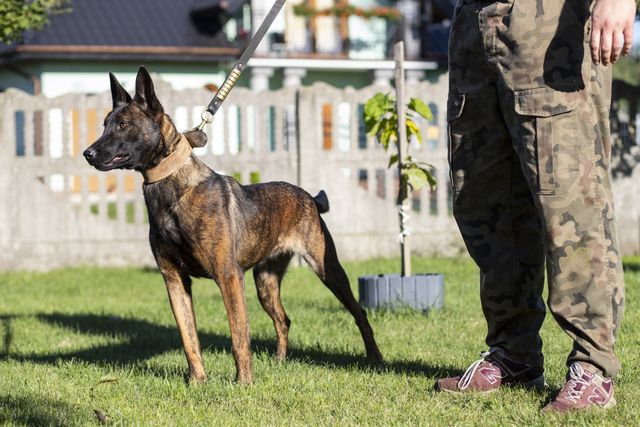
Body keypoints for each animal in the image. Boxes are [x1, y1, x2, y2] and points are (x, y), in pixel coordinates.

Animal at [82, 67, 382, 384]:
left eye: (123, 125)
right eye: (104, 125)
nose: (87, 153)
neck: (174, 188)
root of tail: (309, 197)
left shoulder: (229, 277)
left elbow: (239, 336)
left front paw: (244, 384)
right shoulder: (174, 279)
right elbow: (189, 339)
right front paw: (197, 382)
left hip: (328, 270)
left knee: (360, 313)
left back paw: (375, 358)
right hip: (265, 283)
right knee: (284, 319)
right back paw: (280, 361)